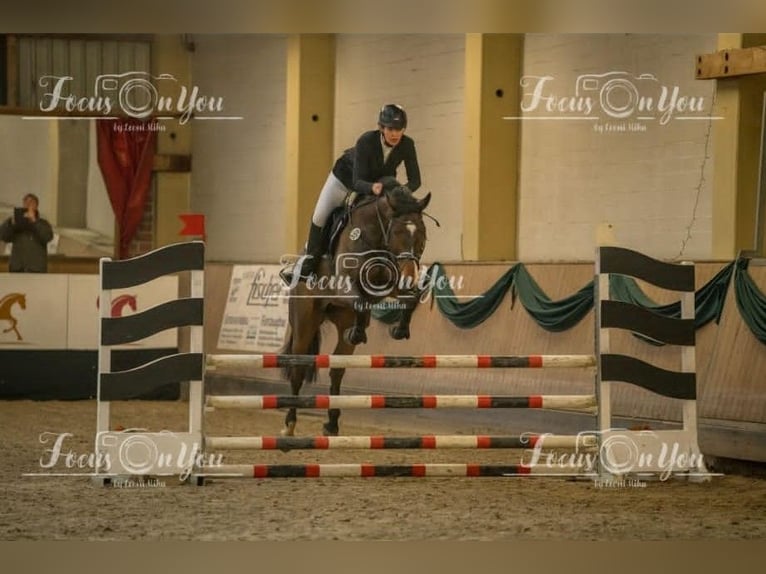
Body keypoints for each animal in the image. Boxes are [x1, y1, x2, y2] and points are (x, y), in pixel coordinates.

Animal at [280, 181, 432, 436]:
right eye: (397, 233)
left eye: (422, 234)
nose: (410, 276)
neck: (376, 237)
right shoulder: (345, 284)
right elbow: (361, 299)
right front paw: (361, 332)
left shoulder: (390, 284)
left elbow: (408, 299)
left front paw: (399, 330)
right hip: (304, 321)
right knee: (298, 369)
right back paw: (289, 425)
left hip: (341, 318)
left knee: (337, 370)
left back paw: (332, 424)